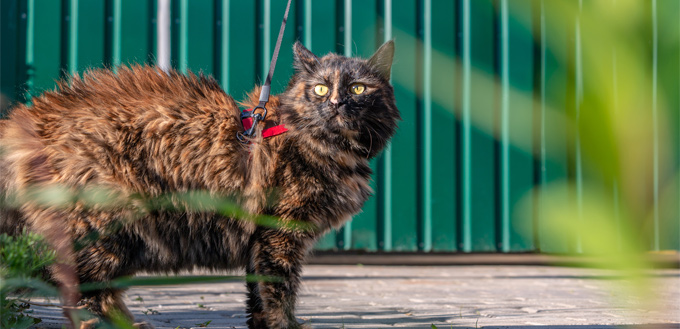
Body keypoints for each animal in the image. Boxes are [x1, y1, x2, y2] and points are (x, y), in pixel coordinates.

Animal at [0, 41, 398, 328]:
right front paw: (286, 325)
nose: (337, 103)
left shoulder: (261, 241)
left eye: (358, 88)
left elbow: (258, 297)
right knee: (79, 288)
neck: (326, 146)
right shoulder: (280, 234)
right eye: (319, 89)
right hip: (107, 226)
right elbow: (280, 290)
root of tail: (27, 121)